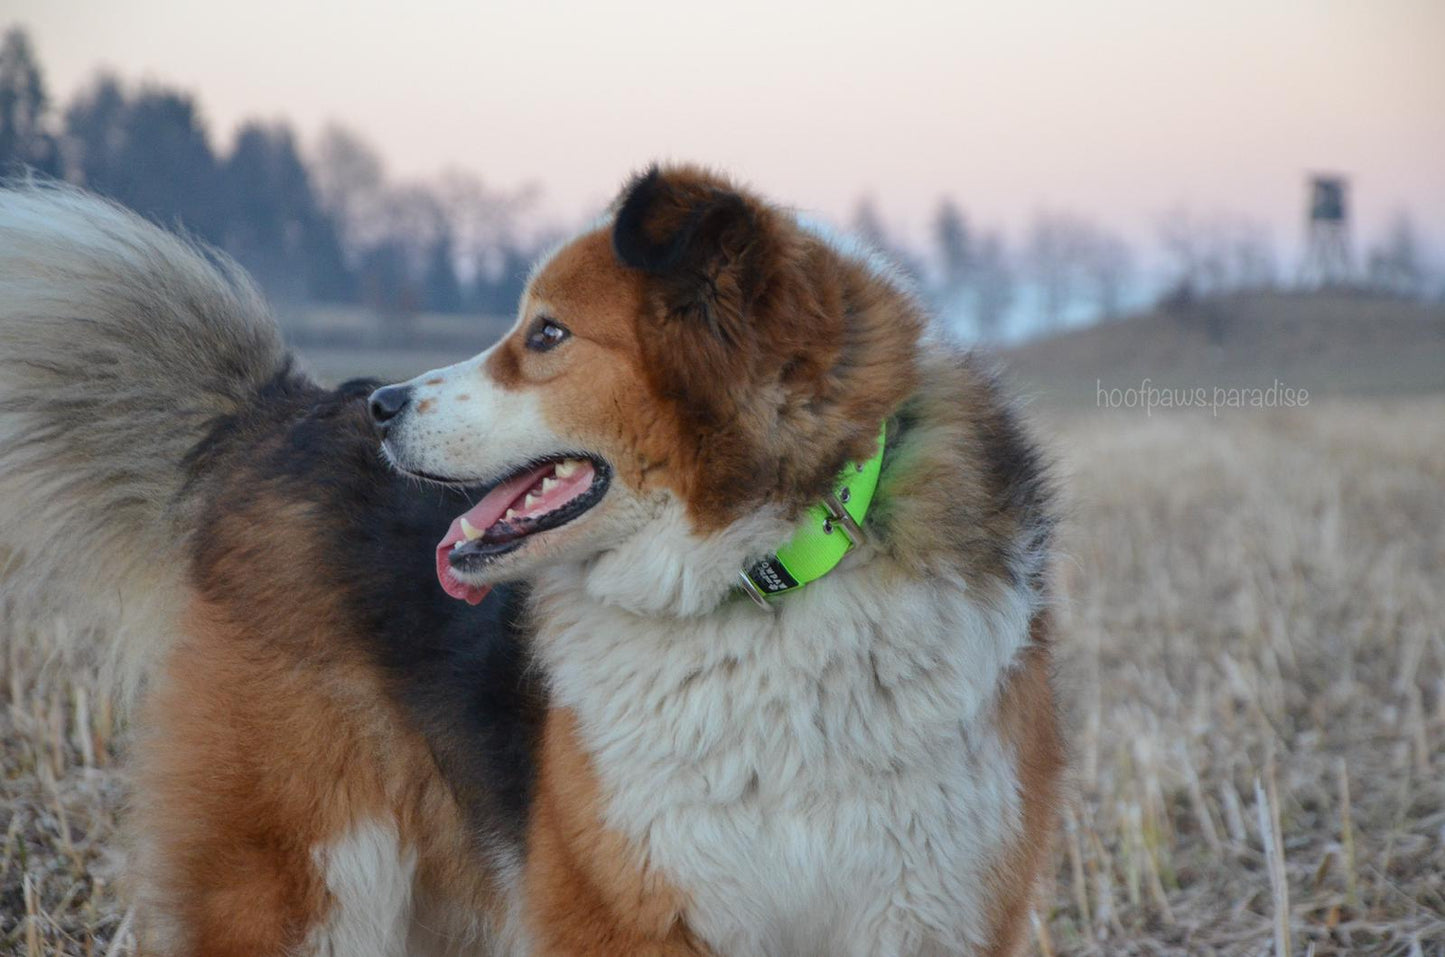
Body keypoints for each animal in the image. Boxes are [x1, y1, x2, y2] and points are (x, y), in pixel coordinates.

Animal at [0, 168, 1063, 954]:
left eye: (547, 333)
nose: (383, 405)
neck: (762, 580)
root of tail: (280, 413)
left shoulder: (931, 907)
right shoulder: (625, 909)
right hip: (302, 875)